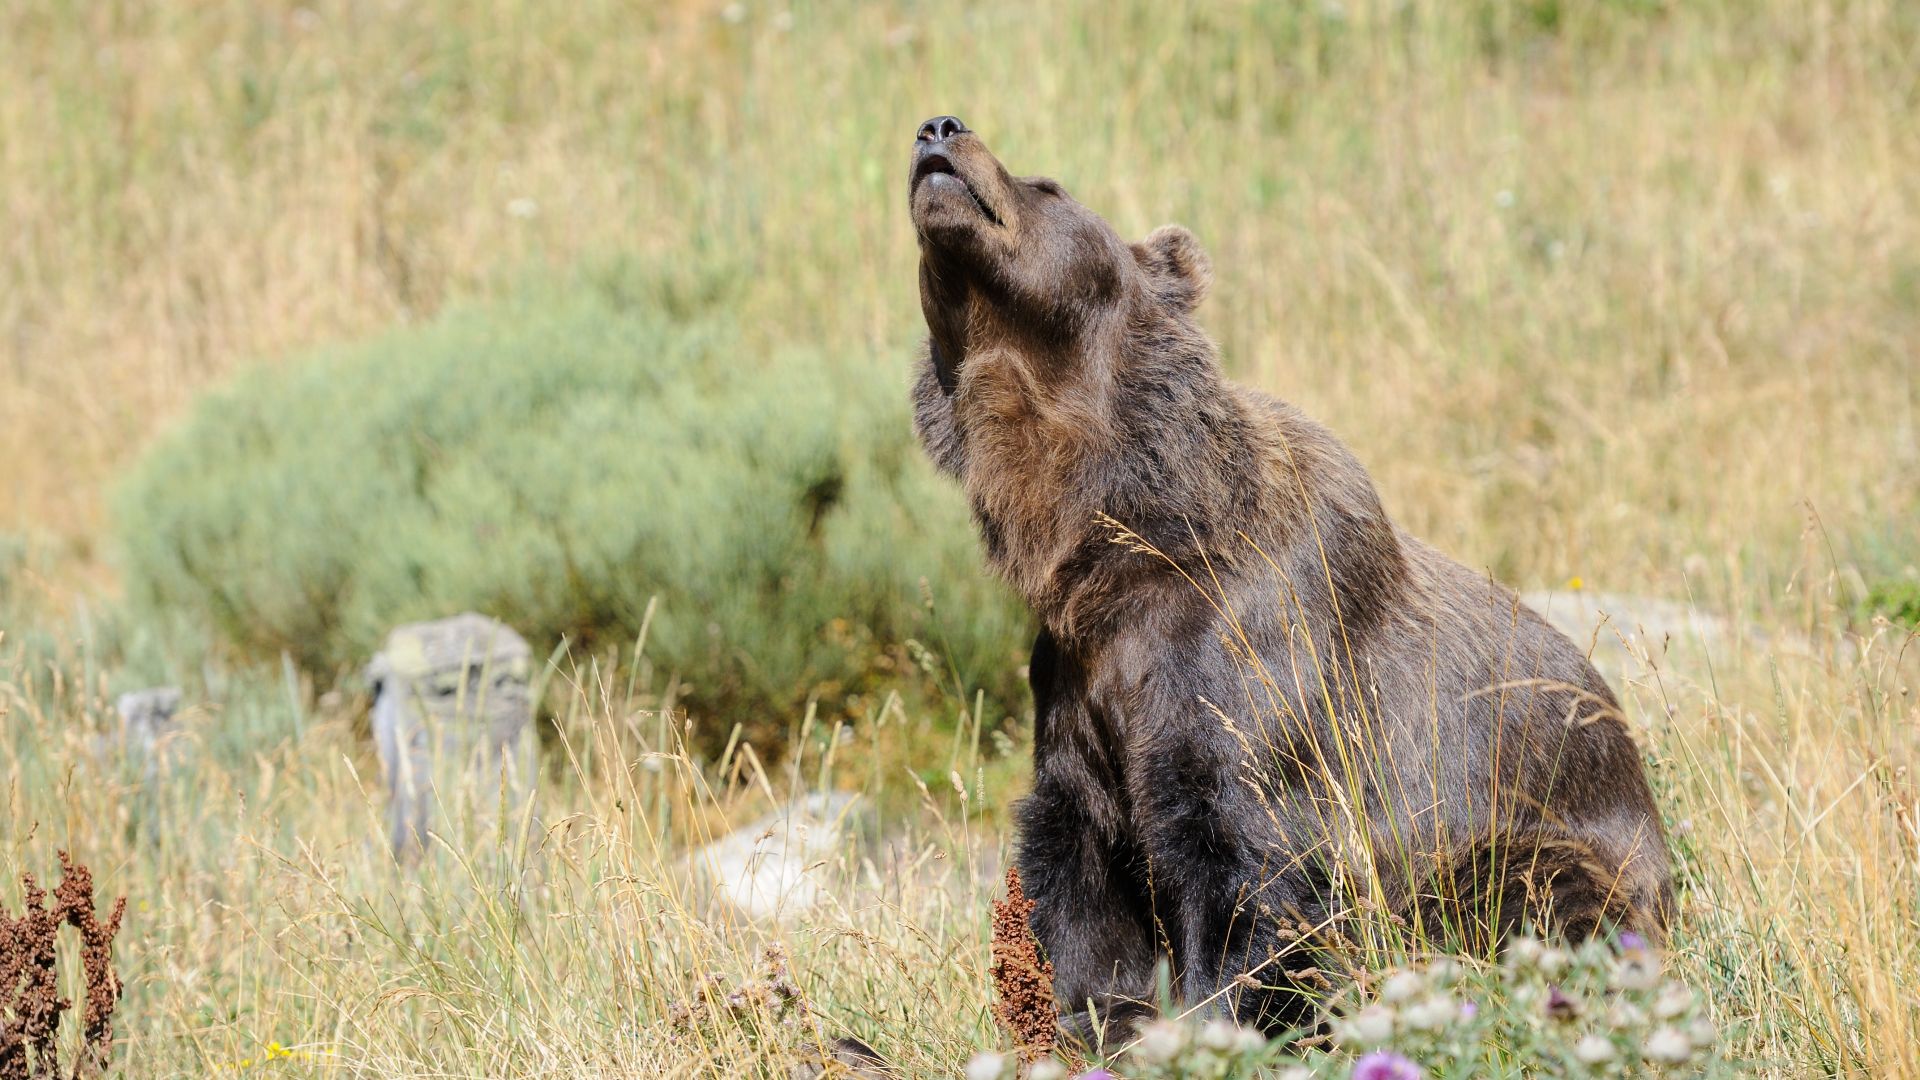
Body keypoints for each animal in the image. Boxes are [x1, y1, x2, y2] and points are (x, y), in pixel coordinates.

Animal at [906, 115, 1674, 1037]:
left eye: (1048, 184)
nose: (939, 129)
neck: (1118, 532)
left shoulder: (1249, 658)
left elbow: (1248, 861)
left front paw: (1217, 1017)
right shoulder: (1078, 684)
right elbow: (1084, 889)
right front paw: (1101, 1019)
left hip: (1553, 829)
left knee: (1531, 891)